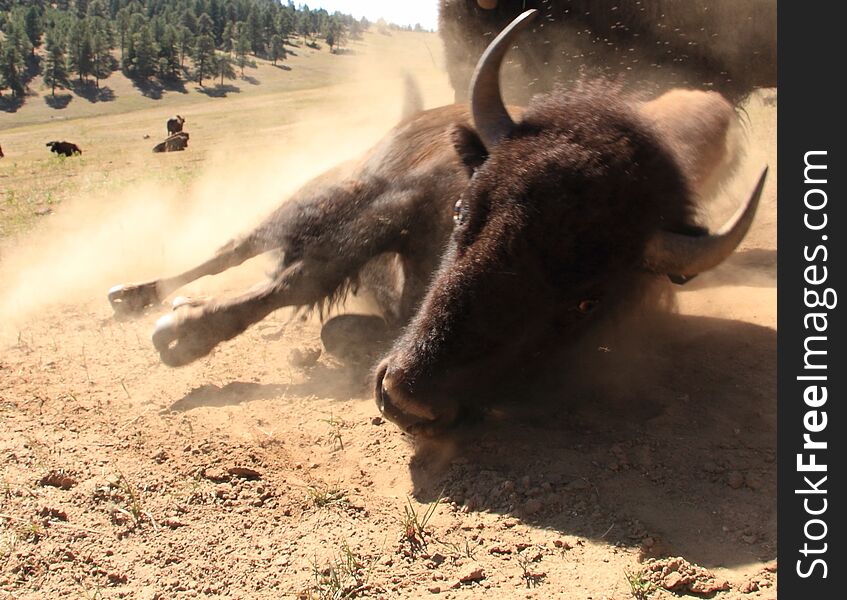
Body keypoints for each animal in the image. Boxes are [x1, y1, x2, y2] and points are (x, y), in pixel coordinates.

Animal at [109, 9, 764, 432]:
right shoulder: (382, 209)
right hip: (314, 194)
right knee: (237, 248)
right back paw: (139, 298)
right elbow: (298, 281)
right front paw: (179, 337)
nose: (408, 399)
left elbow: (333, 322)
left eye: (588, 300)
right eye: (462, 210)